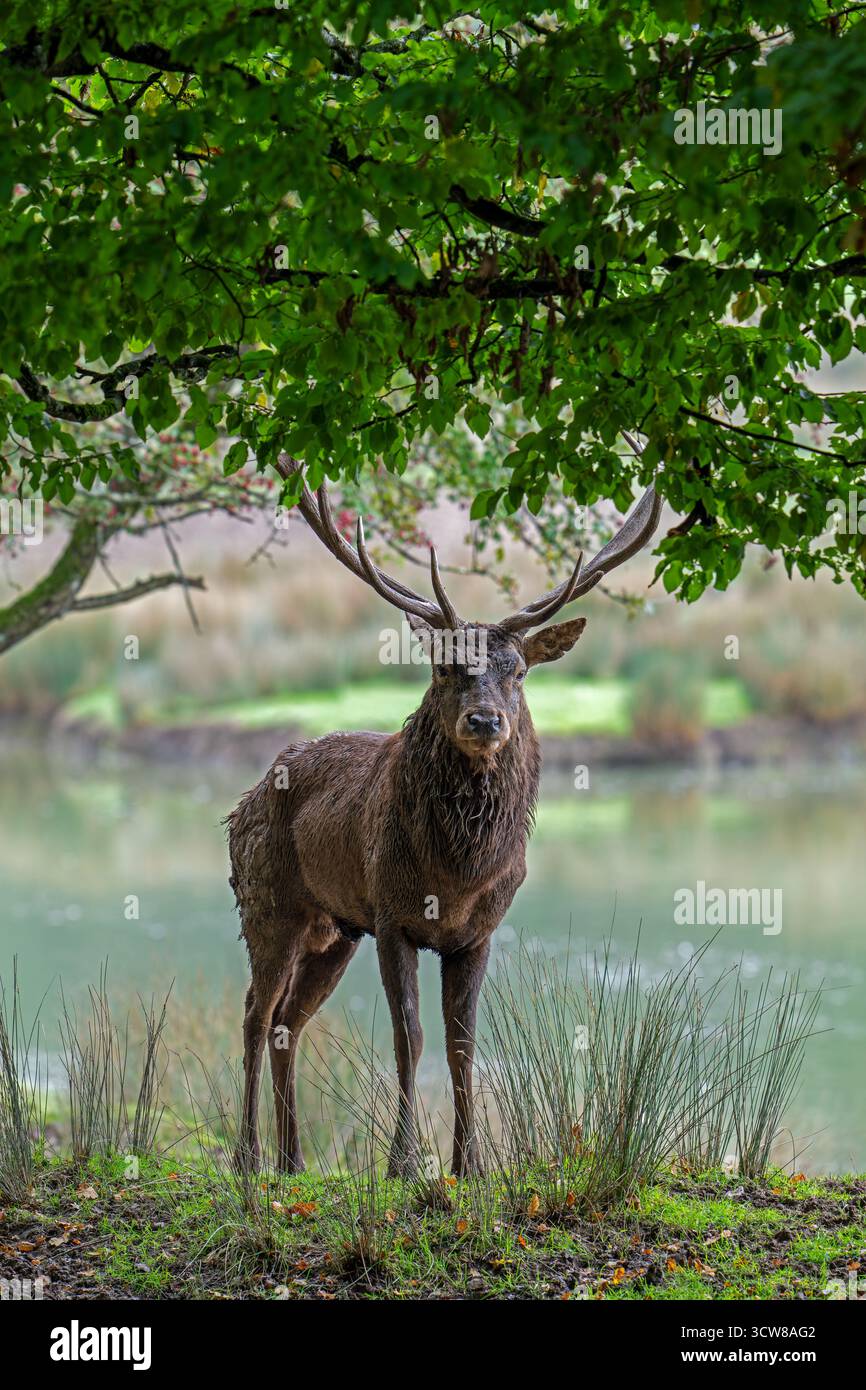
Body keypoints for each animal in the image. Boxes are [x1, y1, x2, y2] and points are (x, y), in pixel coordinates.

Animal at [227, 445, 661, 1178]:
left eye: (518, 669)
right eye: (442, 667)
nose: (483, 721)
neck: (456, 874)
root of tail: (242, 804)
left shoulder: (478, 932)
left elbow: (464, 1043)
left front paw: (469, 1165)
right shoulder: (392, 916)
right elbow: (411, 1036)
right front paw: (403, 1163)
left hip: (333, 931)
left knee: (289, 1021)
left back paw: (293, 1160)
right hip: (271, 905)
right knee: (256, 1013)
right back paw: (247, 1159)